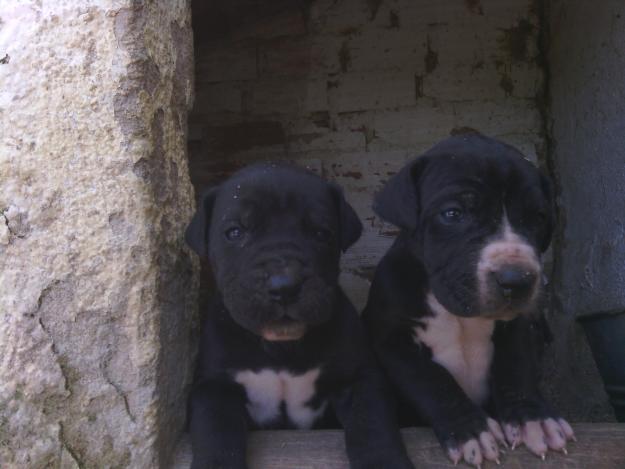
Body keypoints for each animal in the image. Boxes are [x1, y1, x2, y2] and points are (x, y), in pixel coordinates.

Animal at [183, 164, 412, 468]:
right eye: (234, 232)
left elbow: (372, 425)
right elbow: (216, 435)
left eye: (321, 233)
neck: (282, 349)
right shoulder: (214, 388)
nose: (284, 286)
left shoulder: (359, 379)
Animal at [360, 133, 576, 468]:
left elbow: (517, 367)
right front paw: (470, 430)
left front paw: (534, 419)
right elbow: (432, 381)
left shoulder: (517, 328)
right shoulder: (392, 341)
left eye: (537, 217)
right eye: (453, 214)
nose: (516, 279)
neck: (457, 315)